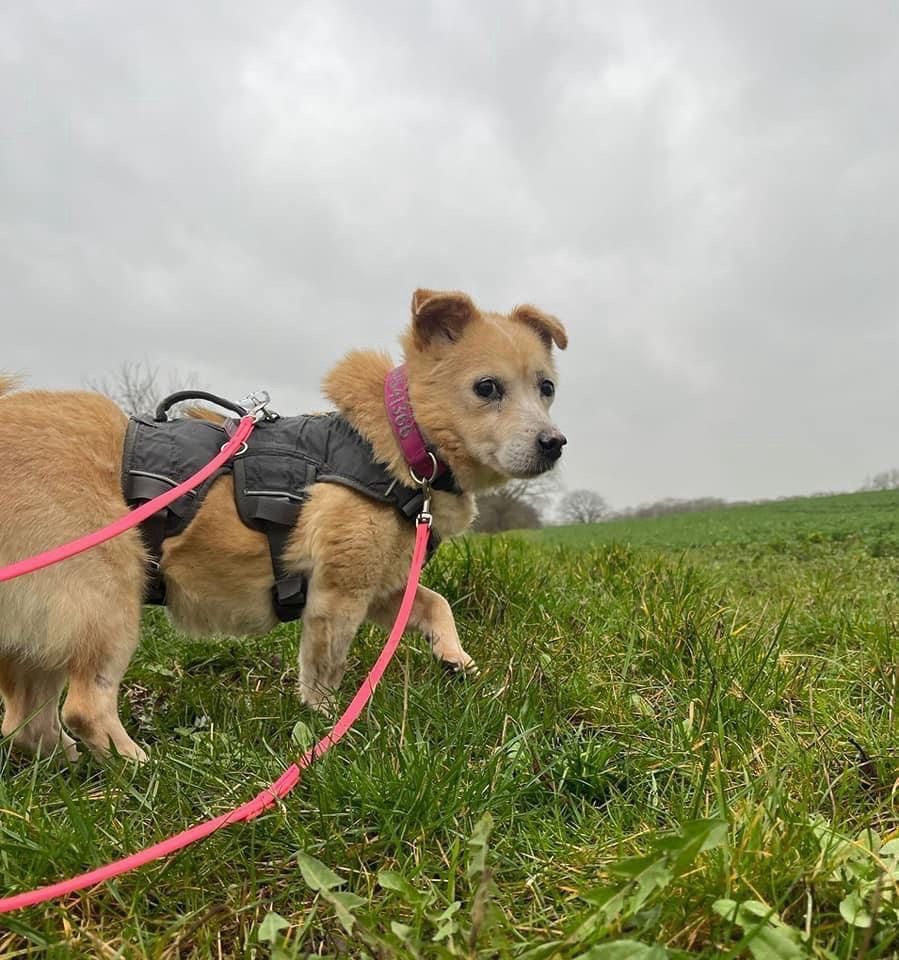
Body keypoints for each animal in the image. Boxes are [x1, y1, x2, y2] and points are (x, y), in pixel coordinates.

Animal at [0, 288, 568, 760]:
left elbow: (435, 603)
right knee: (83, 708)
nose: (555, 442)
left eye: (546, 388)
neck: (401, 445)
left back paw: (71, 762)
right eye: (487, 387)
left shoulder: (382, 587)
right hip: (107, 597)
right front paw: (331, 723)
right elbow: (324, 670)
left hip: (43, 635)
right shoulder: (339, 594)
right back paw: (139, 767)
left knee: (28, 724)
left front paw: (454, 656)